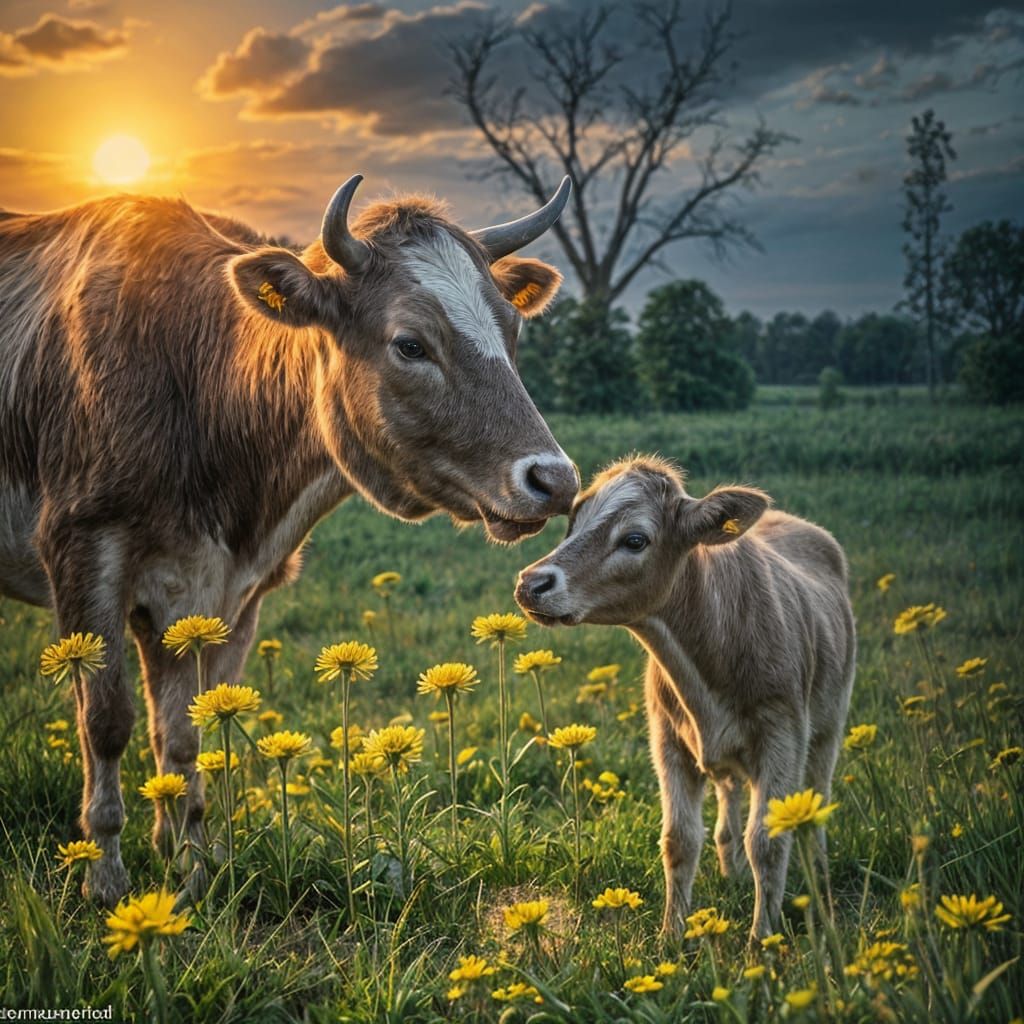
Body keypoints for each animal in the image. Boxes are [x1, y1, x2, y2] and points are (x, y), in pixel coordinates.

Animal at [0, 174, 578, 905]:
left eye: (513, 327)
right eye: (411, 344)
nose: (555, 480)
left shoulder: (229, 594)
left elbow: (187, 731)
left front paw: (193, 866)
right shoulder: (83, 554)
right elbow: (106, 723)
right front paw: (104, 877)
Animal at [515, 456, 856, 938]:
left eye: (635, 539)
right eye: (572, 523)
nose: (532, 582)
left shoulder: (783, 736)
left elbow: (767, 841)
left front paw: (762, 940)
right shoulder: (668, 741)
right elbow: (679, 840)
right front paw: (671, 936)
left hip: (828, 725)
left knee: (815, 807)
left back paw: (820, 880)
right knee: (729, 799)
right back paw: (731, 870)